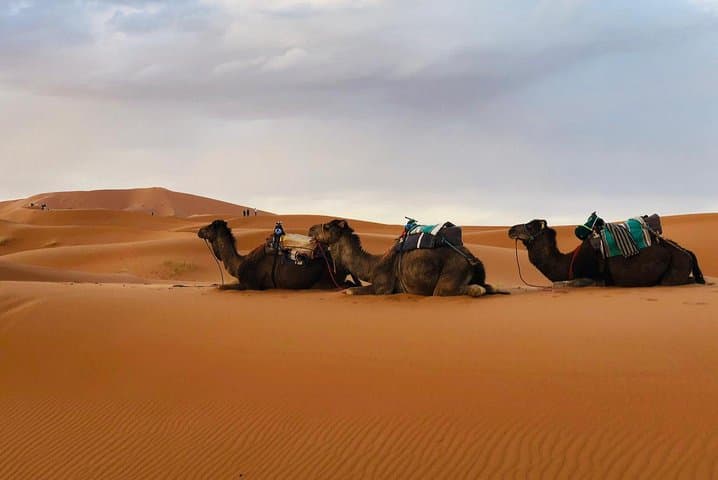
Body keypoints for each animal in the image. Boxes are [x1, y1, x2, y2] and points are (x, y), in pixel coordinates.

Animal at [198, 220, 357, 290]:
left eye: (210, 226)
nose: (199, 231)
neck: (239, 264)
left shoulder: (251, 285)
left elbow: (222, 287)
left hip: (325, 280)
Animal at [308, 219, 505, 297]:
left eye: (327, 226)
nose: (310, 229)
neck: (373, 266)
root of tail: (472, 259)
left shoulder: (383, 286)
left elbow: (351, 291)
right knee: (488, 286)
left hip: (450, 274)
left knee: (470, 290)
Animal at [508, 219, 705, 287]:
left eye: (530, 225)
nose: (511, 230)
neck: (568, 261)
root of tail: (687, 252)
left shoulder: (592, 278)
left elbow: (561, 284)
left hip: (674, 270)